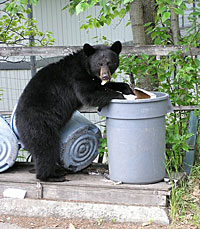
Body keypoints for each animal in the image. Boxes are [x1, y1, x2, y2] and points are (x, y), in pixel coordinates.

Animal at [15, 40, 133, 182]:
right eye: (99, 64)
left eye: (109, 62)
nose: (105, 75)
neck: (84, 65)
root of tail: (18, 123)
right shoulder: (77, 77)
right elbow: (88, 94)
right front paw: (121, 96)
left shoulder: (95, 79)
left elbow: (104, 85)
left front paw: (128, 89)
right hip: (39, 124)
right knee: (46, 148)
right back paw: (51, 176)